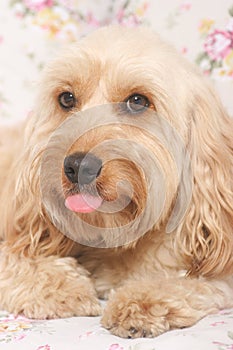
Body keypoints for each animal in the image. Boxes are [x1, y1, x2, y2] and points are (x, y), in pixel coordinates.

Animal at [0, 26, 233, 338]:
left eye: (137, 101)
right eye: (66, 98)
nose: (77, 167)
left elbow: (189, 283)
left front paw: (141, 300)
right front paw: (65, 288)